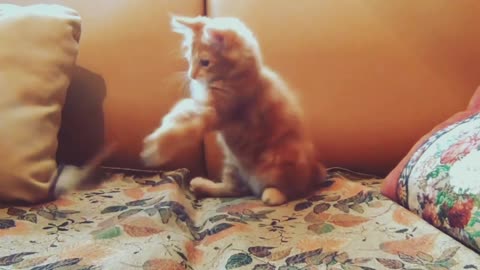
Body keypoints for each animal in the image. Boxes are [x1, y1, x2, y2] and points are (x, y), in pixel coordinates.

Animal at [140, 15, 326, 205]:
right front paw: (163, 130)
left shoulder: (219, 111)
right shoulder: (201, 105)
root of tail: (314, 172)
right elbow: (180, 114)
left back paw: (272, 195)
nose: (191, 75)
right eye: (188, 59)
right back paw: (201, 184)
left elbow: (184, 128)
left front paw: (157, 148)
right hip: (232, 163)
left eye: (205, 62)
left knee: (289, 189)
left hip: (276, 163)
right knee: (235, 189)